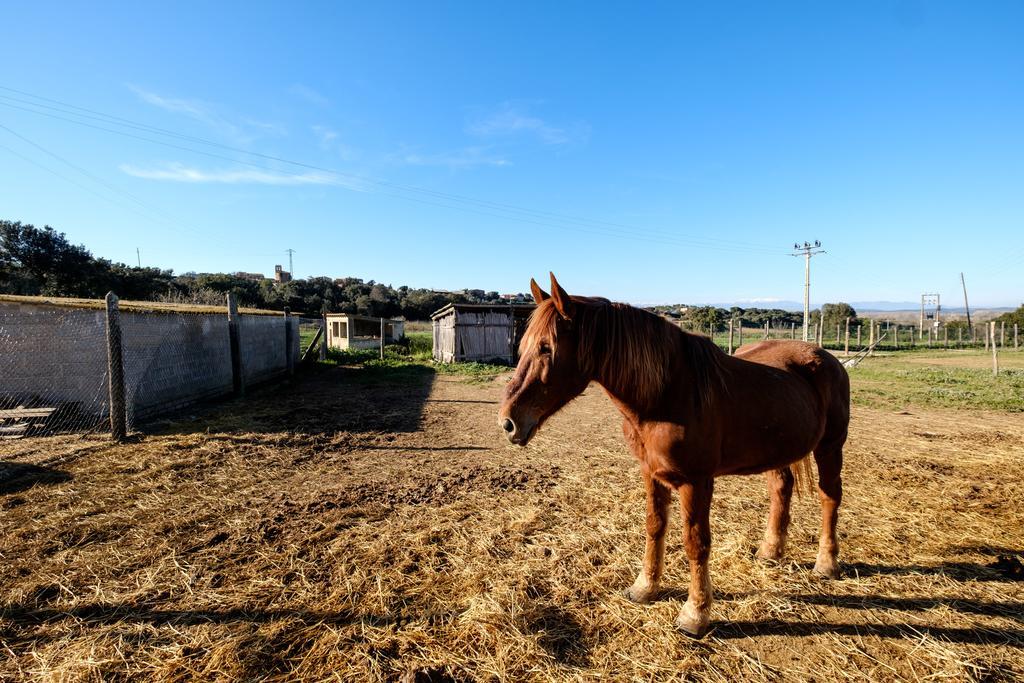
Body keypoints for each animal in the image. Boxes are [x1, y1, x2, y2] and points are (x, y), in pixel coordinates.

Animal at [499, 274, 851, 638]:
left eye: (546, 347)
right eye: (524, 347)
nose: (508, 422)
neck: (667, 394)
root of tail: (827, 359)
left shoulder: (696, 482)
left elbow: (696, 542)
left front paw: (695, 614)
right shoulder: (651, 473)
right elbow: (655, 527)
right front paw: (644, 588)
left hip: (830, 446)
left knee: (829, 496)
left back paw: (827, 563)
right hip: (778, 452)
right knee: (781, 489)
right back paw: (770, 552)